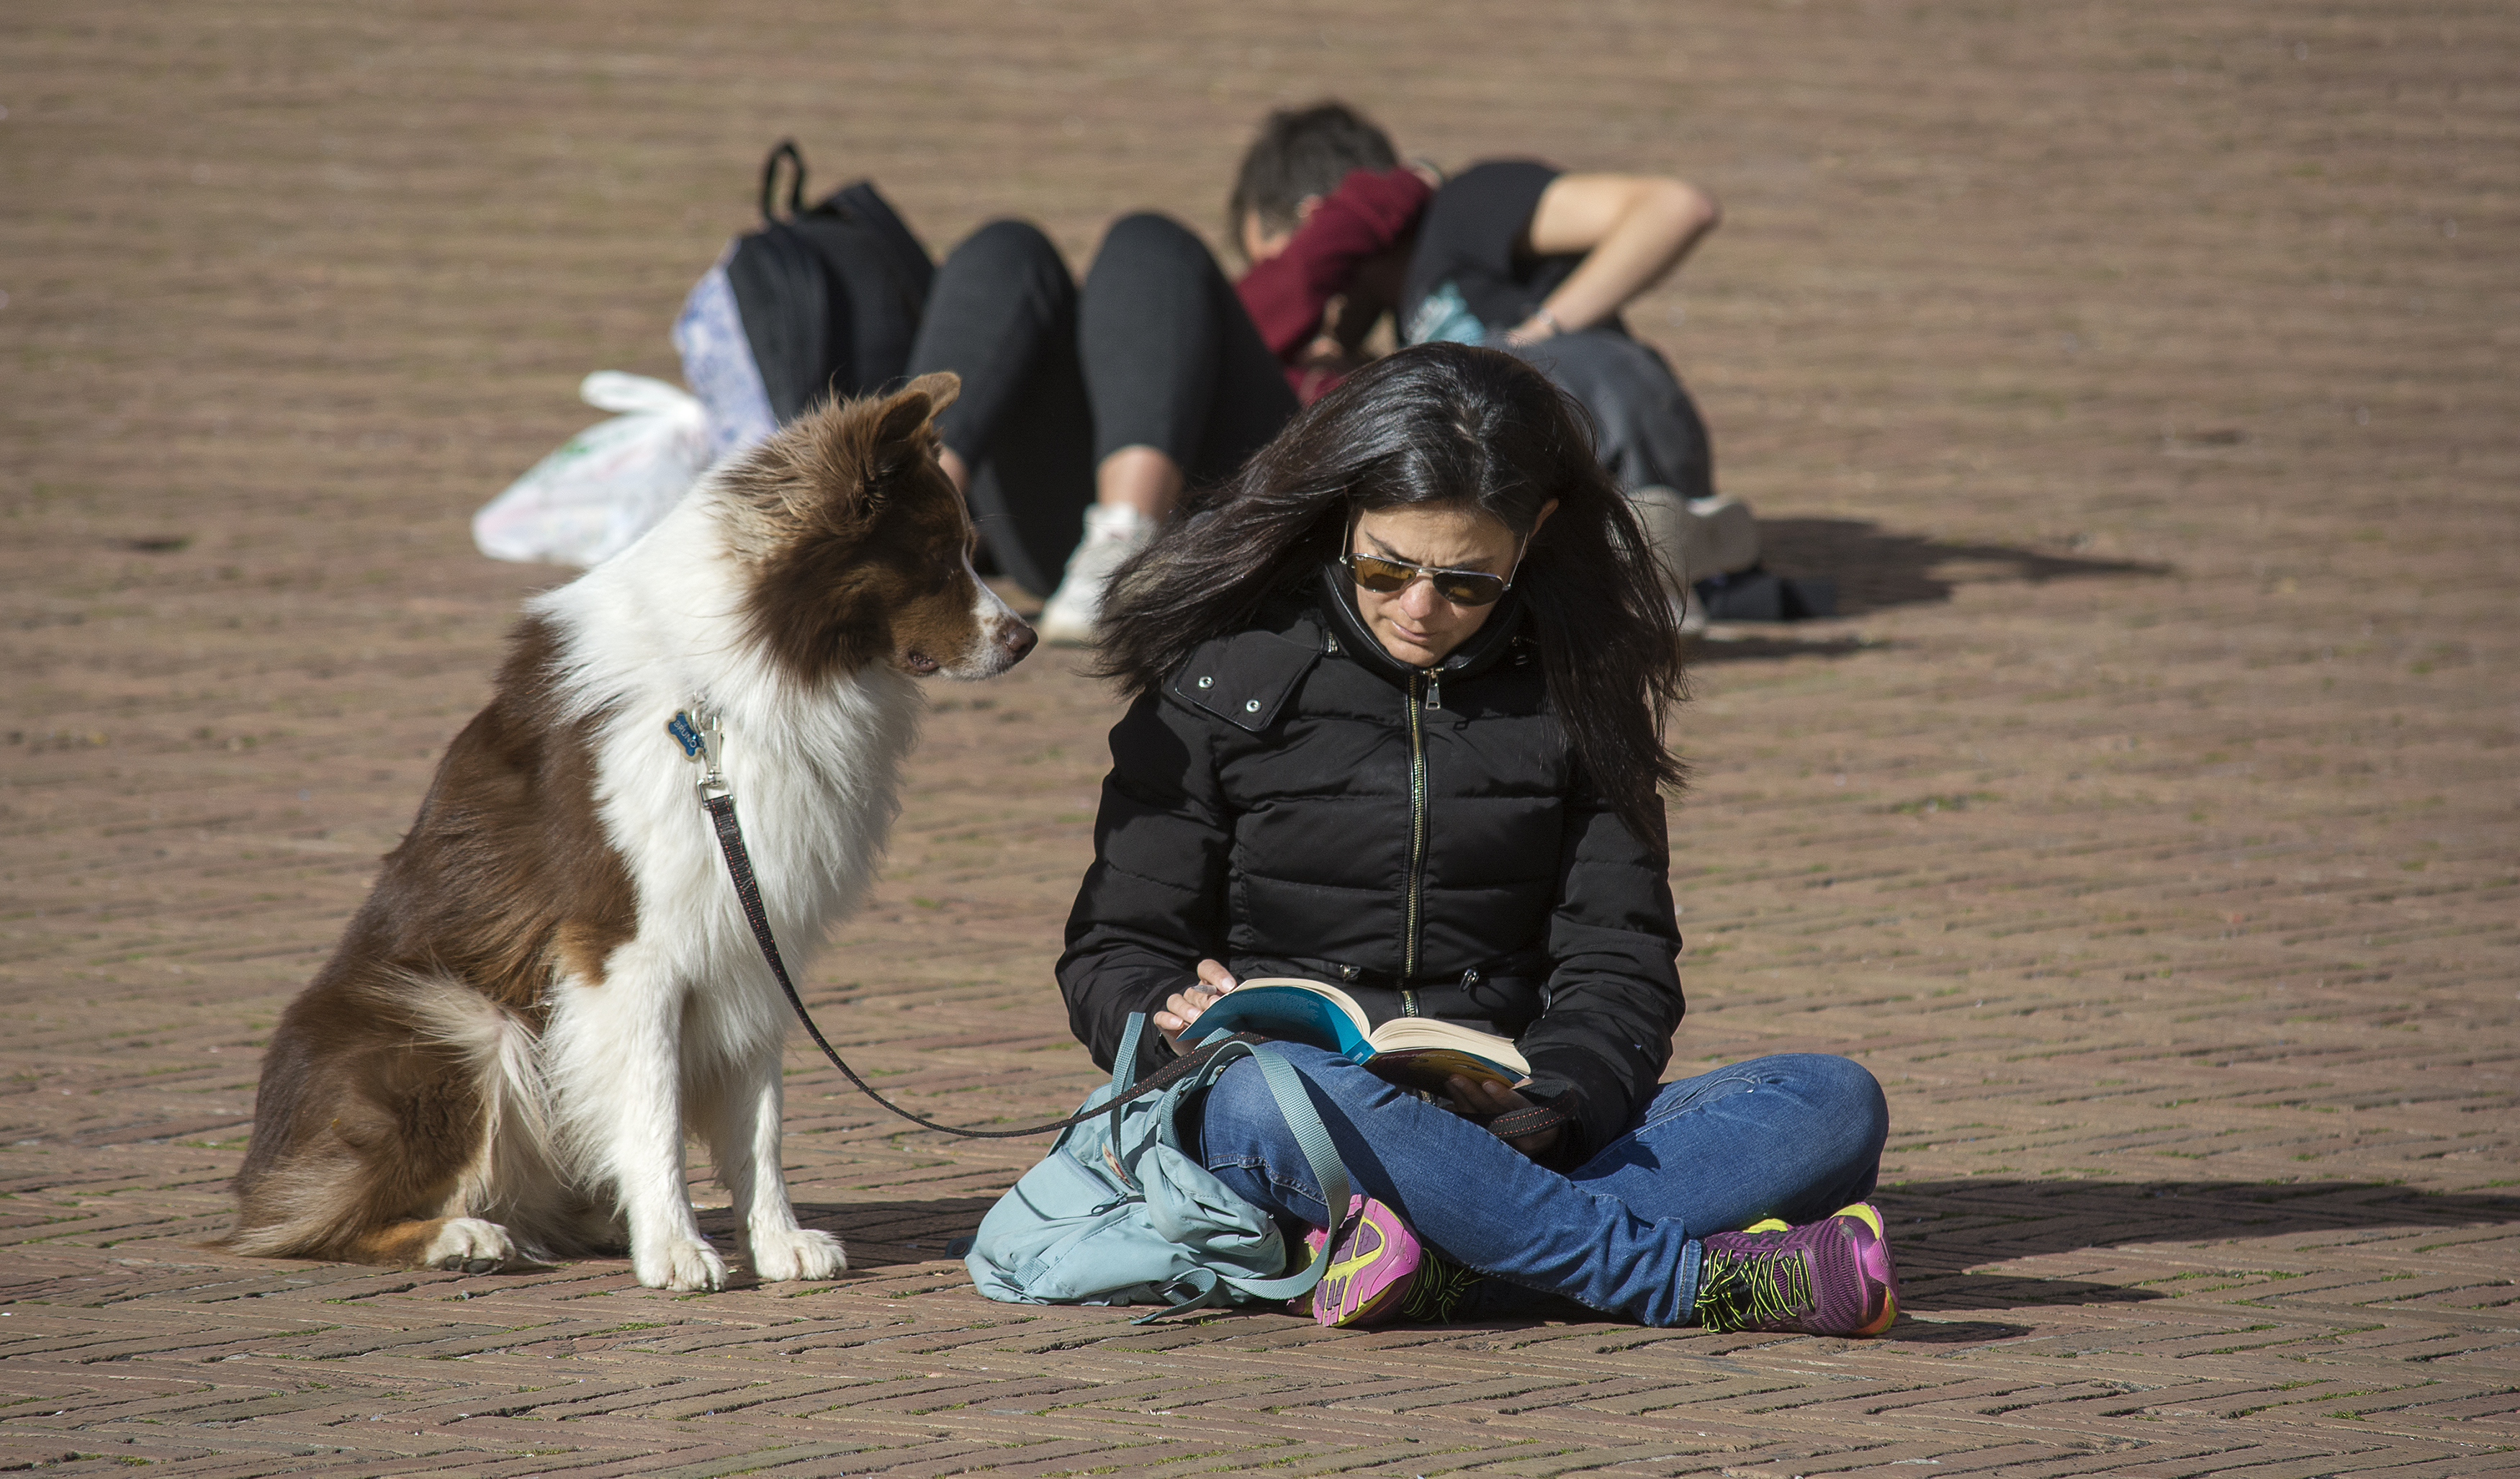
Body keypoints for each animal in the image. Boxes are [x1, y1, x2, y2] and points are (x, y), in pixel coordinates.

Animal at [222, 375, 1028, 1290]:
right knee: (320, 1221)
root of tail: (257, 1169)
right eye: (937, 557)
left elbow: (760, 1123)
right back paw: (462, 1234)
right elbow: (651, 1108)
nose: (1028, 637)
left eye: (969, 549)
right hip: (462, 1022)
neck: (734, 678)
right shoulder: (627, 951)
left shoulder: (752, 936)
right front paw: (674, 1246)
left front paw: (775, 1239)